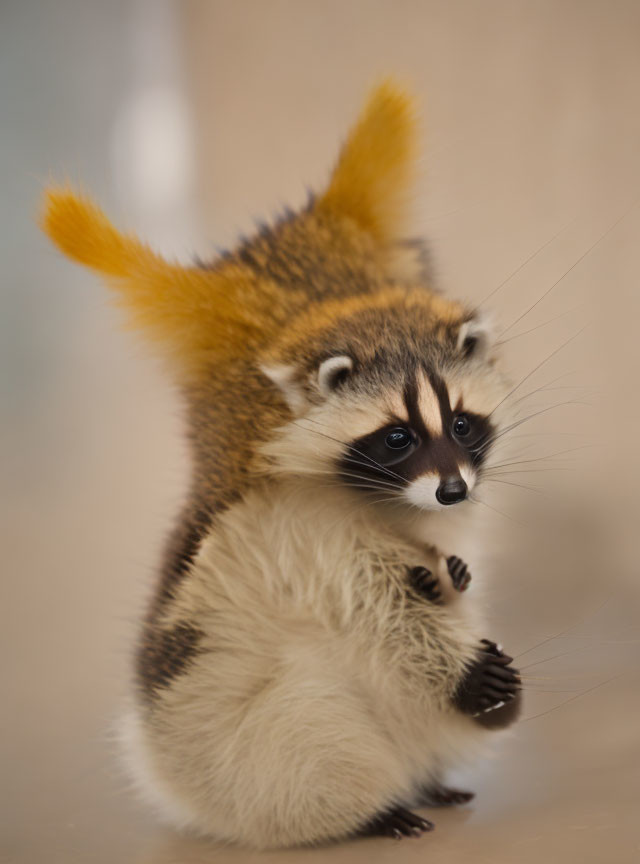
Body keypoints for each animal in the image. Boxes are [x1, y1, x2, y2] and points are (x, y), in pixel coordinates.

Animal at [40, 81, 520, 852]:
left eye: (461, 424)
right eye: (396, 438)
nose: (451, 490)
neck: (380, 498)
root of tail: (172, 784)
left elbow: (446, 575)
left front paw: (453, 575)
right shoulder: (299, 537)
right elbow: (384, 617)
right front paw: (462, 663)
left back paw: (428, 777)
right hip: (227, 746)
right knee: (312, 729)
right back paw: (368, 808)